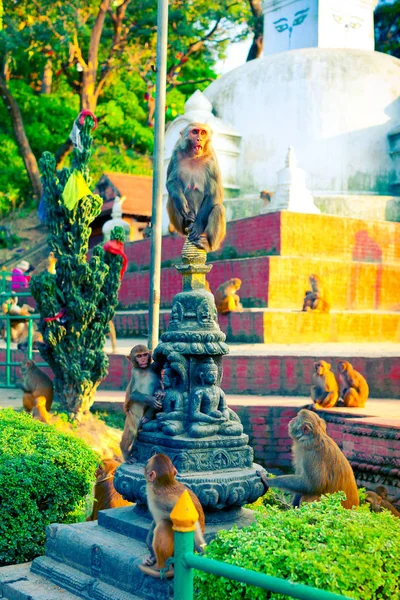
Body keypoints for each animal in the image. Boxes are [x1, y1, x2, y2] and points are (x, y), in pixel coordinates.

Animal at [166, 122, 227, 253]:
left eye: (203, 132)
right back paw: (187, 220)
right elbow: (171, 181)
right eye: (194, 132)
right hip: (181, 226)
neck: (194, 157)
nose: (199, 139)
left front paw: (198, 227)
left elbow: (215, 192)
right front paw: (181, 201)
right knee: (171, 199)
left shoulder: (212, 160)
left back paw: (208, 244)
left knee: (218, 209)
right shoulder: (176, 154)